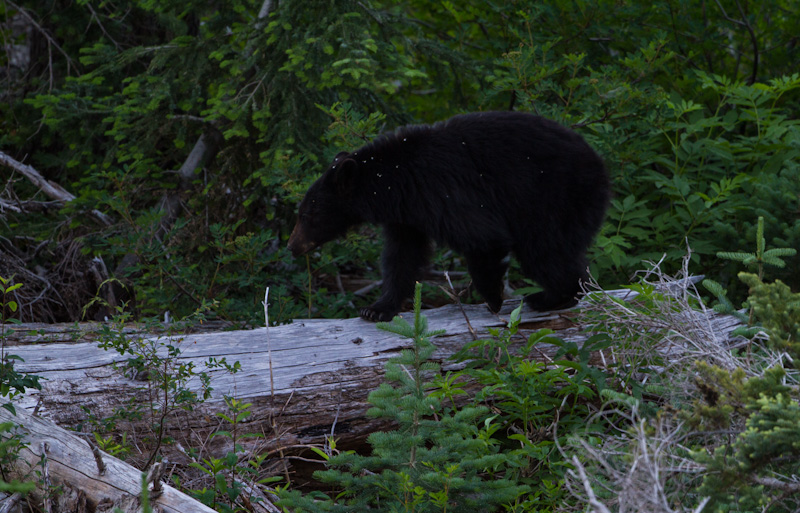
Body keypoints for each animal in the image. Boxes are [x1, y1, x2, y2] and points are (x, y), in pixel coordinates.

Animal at [288, 111, 608, 320]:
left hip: (553, 196)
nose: (292, 246)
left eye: (307, 213)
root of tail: (600, 165)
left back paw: (550, 297)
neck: (395, 180)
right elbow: (402, 256)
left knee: (543, 250)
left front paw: (493, 299)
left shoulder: (442, 192)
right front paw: (377, 308)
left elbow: (483, 237)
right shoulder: (406, 215)